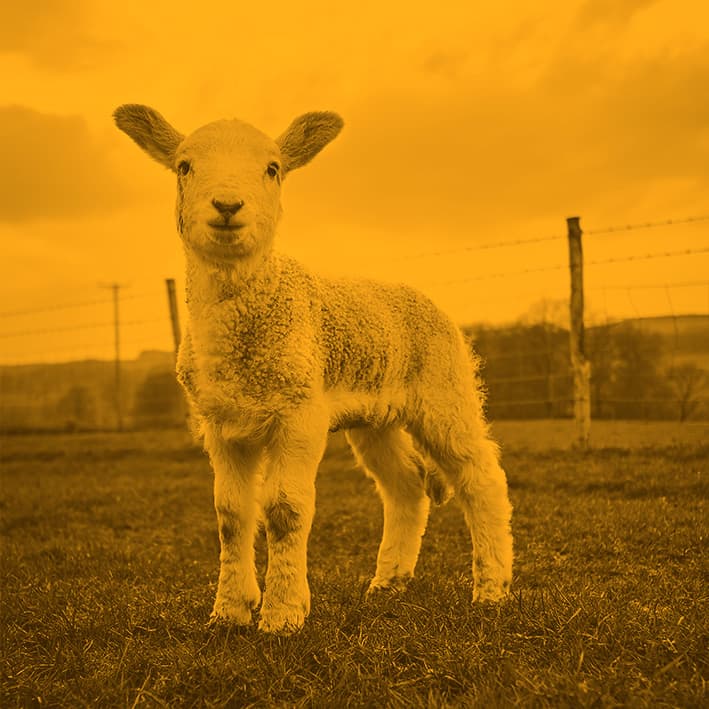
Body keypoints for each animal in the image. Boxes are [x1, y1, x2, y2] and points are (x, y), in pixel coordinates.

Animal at [113, 104, 513, 634]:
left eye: (273, 169)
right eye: (184, 166)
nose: (227, 205)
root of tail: (417, 294)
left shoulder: (299, 411)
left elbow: (285, 509)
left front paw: (282, 615)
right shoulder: (219, 423)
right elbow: (230, 515)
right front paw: (229, 612)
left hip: (444, 386)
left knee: (480, 475)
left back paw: (492, 589)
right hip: (376, 416)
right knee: (406, 485)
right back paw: (388, 583)